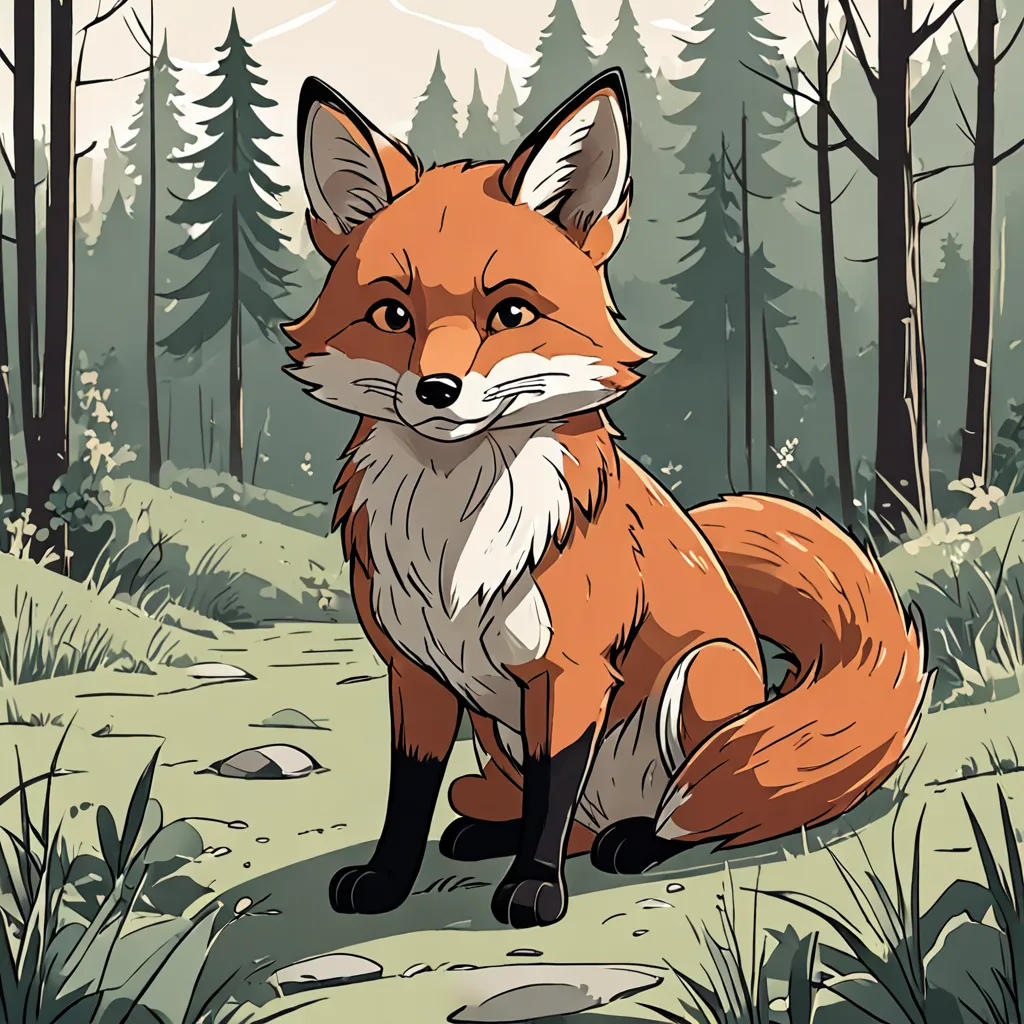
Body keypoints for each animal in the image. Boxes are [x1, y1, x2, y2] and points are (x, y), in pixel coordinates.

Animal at [283, 67, 929, 929]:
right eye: (392, 314)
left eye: (511, 313)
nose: (437, 391)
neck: (455, 534)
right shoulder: (414, 674)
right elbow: (410, 797)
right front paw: (387, 880)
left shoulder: (572, 672)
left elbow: (552, 796)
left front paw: (533, 889)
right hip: (496, 729)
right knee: (552, 813)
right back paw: (491, 835)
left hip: (701, 680)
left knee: (687, 810)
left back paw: (636, 841)